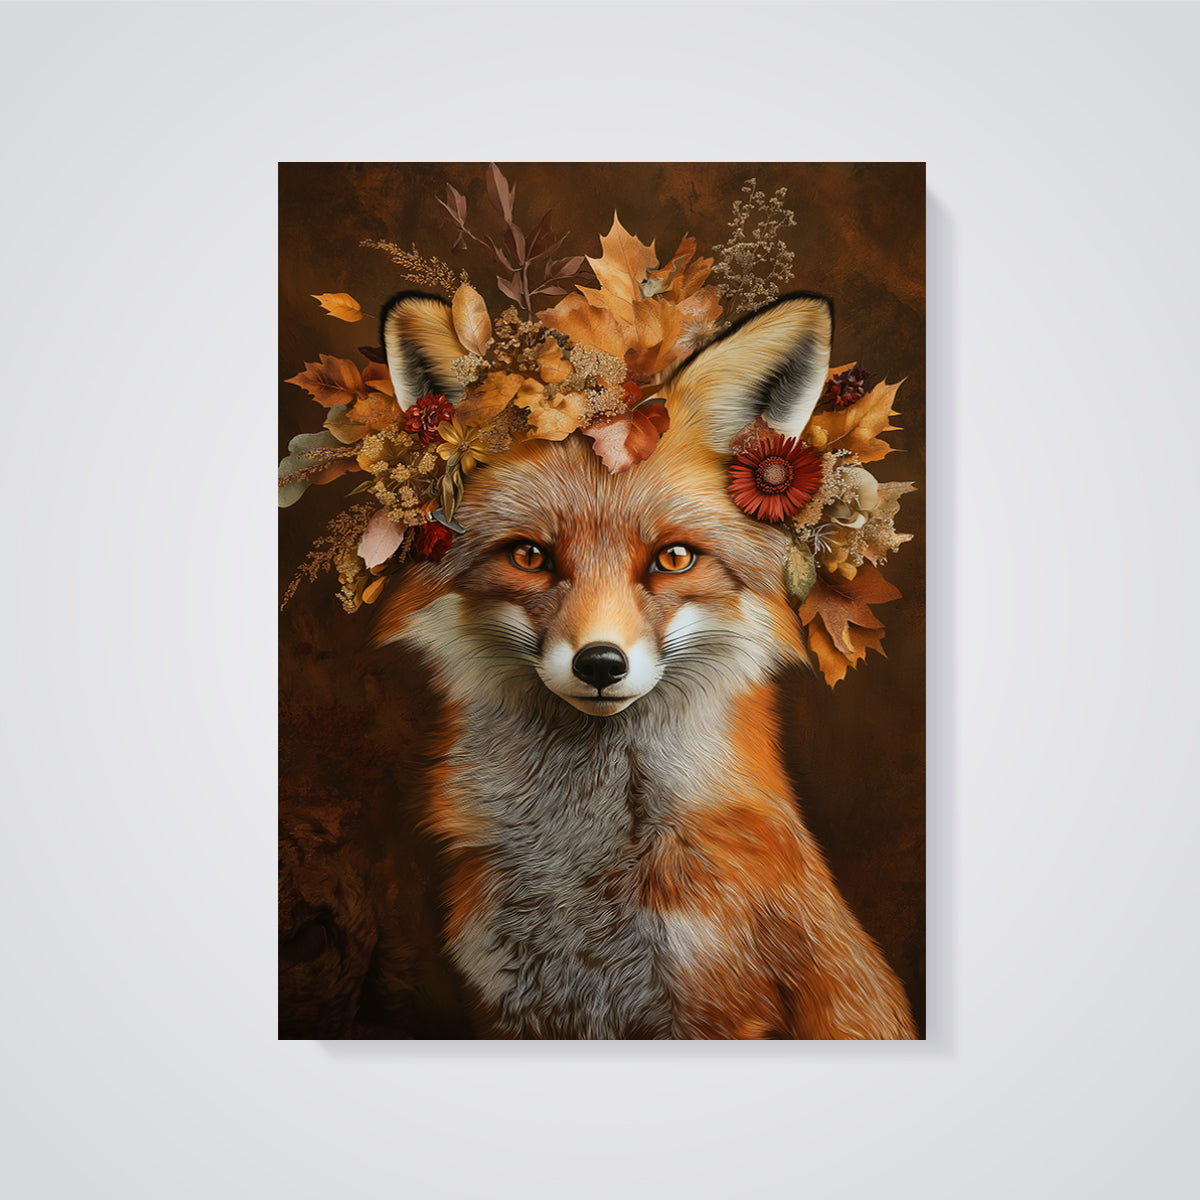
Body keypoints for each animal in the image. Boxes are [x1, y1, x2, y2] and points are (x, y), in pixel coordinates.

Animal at [371, 290, 918, 1039]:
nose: (601, 663)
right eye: (530, 556)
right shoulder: (513, 1003)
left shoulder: (719, 1004)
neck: (582, 878)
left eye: (674, 558)